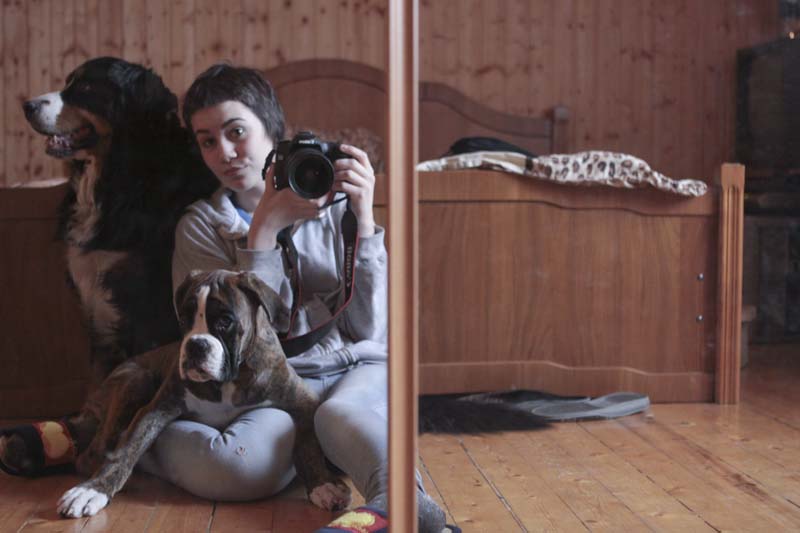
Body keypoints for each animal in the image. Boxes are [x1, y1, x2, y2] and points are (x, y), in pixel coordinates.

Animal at [54, 269, 351, 518]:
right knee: (94, 453)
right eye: (184, 319)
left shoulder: (303, 400)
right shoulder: (155, 409)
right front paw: (94, 489)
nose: (195, 345)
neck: (227, 380)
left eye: (225, 321)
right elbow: (128, 448)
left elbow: (308, 441)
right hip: (136, 379)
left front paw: (323, 485)